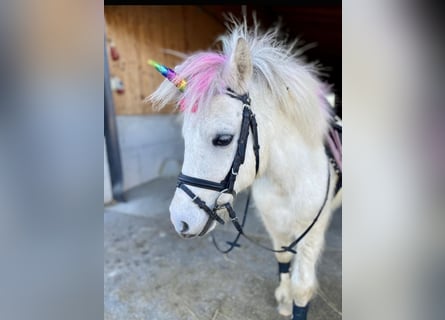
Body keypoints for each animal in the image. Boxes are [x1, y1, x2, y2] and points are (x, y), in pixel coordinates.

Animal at [149, 16, 340, 320]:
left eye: (223, 139)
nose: (180, 221)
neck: (287, 180)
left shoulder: (311, 234)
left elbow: (302, 287)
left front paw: (293, 300)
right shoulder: (276, 225)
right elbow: (283, 258)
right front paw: (283, 299)